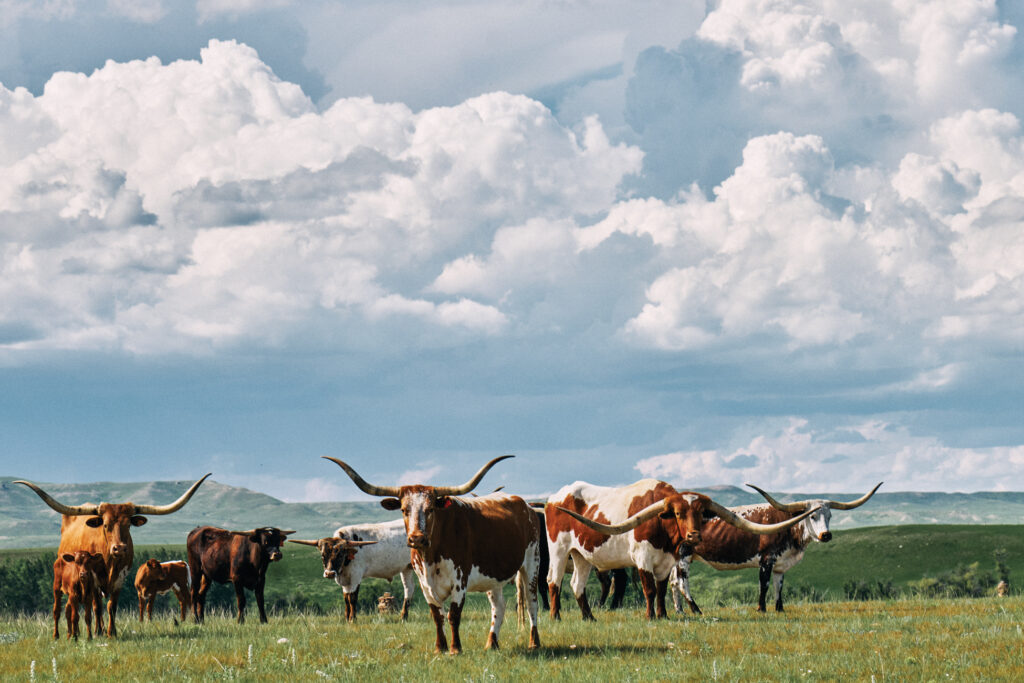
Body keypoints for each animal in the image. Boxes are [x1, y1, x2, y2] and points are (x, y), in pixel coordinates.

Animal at [15, 474, 211, 637]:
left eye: (128, 525)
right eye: (106, 525)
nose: (119, 549)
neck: (109, 562)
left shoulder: (120, 579)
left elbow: (112, 606)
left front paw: (112, 632)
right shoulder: (92, 580)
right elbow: (97, 607)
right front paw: (99, 632)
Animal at [324, 455, 541, 654]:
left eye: (430, 509)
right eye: (403, 509)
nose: (416, 539)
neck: (431, 555)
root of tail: (524, 504)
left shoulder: (459, 580)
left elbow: (453, 615)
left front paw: (455, 648)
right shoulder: (424, 583)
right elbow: (437, 615)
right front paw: (440, 648)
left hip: (532, 564)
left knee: (532, 604)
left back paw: (534, 643)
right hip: (493, 576)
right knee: (498, 607)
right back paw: (491, 643)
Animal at [546, 479, 818, 620]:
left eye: (701, 514)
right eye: (677, 513)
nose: (693, 535)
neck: (663, 529)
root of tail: (554, 498)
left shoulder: (668, 560)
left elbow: (662, 588)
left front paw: (664, 615)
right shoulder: (642, 558)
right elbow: (649, 589)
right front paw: (650, 616)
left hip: (582, 555)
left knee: (577, 585)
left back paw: (589, 617)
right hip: (559, 550)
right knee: (554, 582)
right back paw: (556, 616)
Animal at [671, 483, 883, 614]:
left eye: (830, 516)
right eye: (812, 516)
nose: (826, 535)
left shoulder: (781, 564)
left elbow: (778, 586)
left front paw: (780, 609)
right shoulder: (767, 559)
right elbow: (764, 584)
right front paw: (761, 609)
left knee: (673, 582)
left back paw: (680, 611)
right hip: (684, 555)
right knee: (682, 583)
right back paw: (696, 610)